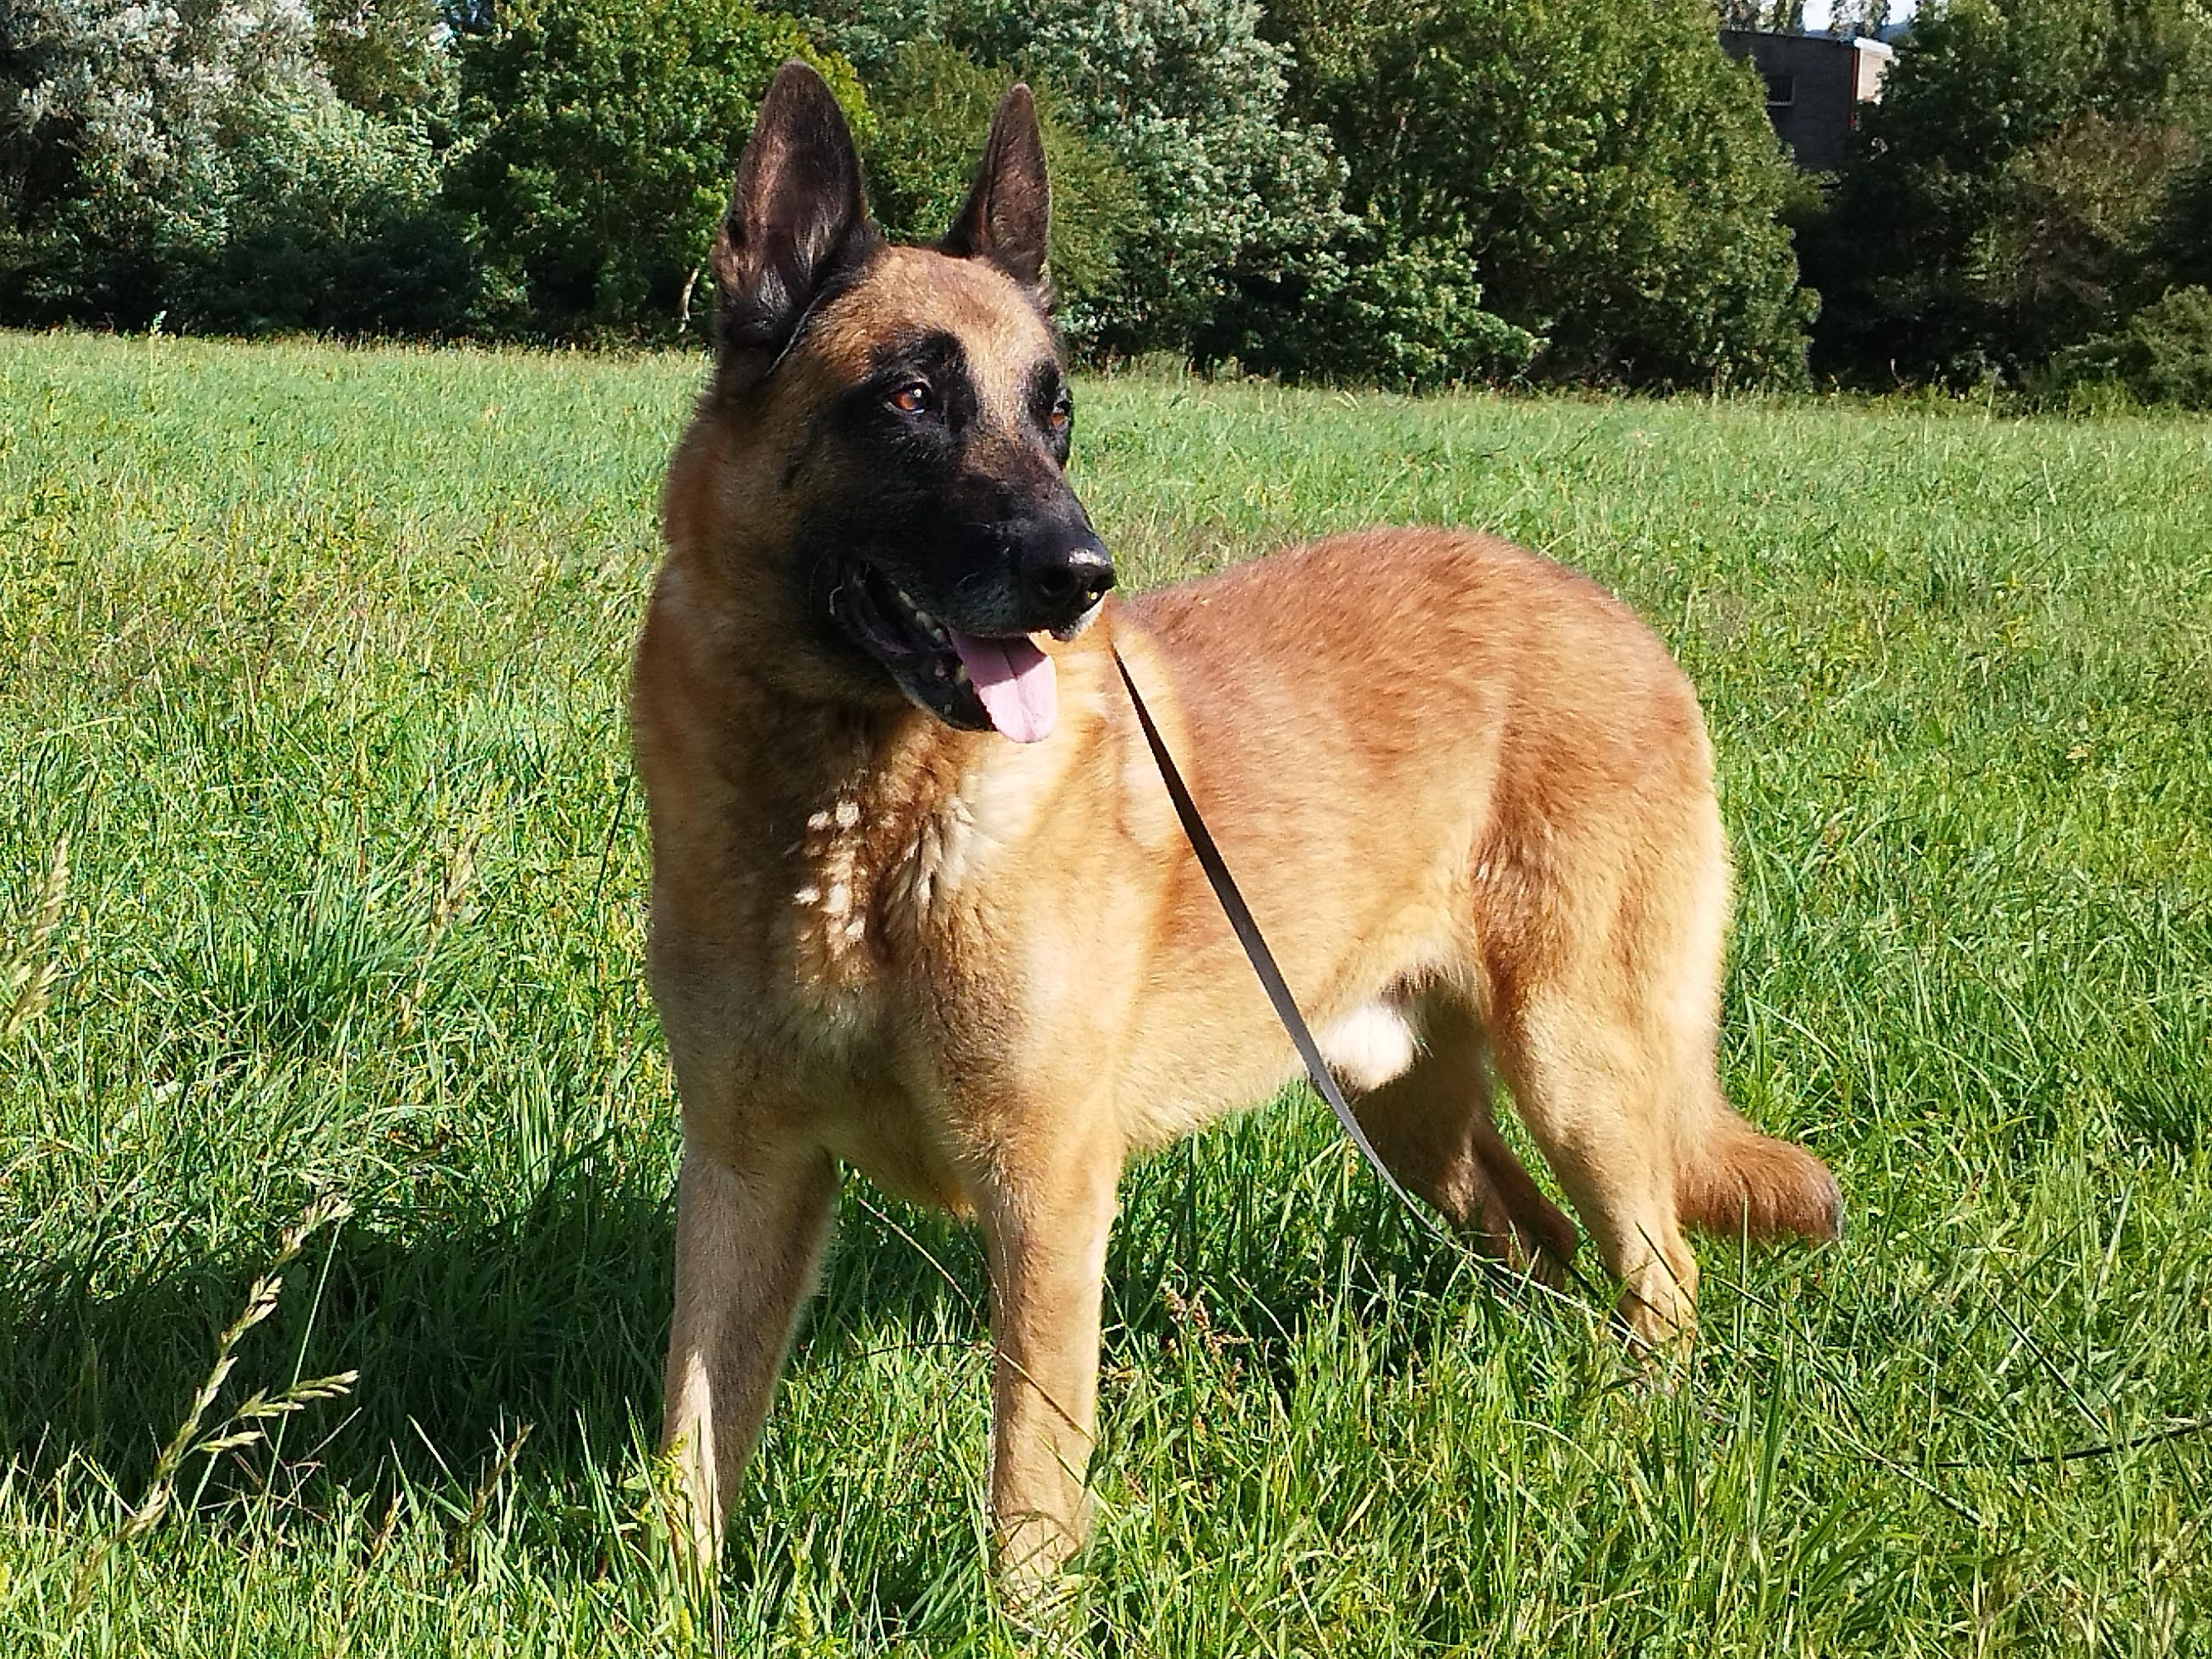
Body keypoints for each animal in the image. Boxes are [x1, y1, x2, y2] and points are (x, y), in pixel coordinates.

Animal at [631, 60, 1843, 1588]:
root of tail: (1622, 627)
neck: (855, 828)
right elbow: (691, 1438)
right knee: (1541, 1248)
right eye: (906, 397)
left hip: (1580, 1069)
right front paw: (667, 1605)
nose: (1080, 576)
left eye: (1055, 413)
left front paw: (1022, 1616)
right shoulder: (745, 1171)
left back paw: (1632, 1439)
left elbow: (1029, 1476)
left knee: (1660, 1276)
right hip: (1409, 1114)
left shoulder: (1046, 1193)